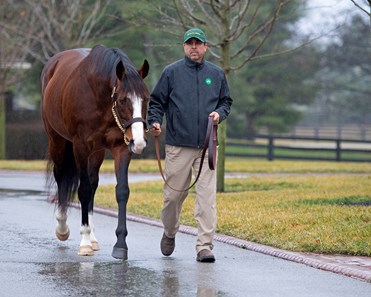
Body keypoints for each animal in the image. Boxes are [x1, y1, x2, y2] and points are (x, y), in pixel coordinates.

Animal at [40, 44, 150, 260]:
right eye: (123, 100)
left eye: (146, 99)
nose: (139, 142)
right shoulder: (81, 146)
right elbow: (82, 190)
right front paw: (83, 243)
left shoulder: (121, 147)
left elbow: (121, 191)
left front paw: (120, 244)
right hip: (57, 141)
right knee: (61, 176)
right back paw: (63, 227)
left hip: (96, 153)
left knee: (92, 183)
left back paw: (93, 237)